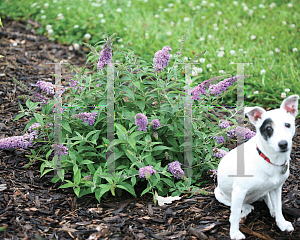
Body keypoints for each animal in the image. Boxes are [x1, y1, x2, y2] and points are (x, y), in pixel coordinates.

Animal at [214, 95, 298, 240]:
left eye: (287, 125)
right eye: (268, 129)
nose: (283, 144)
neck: (269, 160)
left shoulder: (277, 188)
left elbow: (279, 207)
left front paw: (281, 223)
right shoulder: (239, 191)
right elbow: (234, 214)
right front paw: (234, 233)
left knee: (266, 200)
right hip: (221, 194)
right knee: (244, 207)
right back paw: (243, 214)